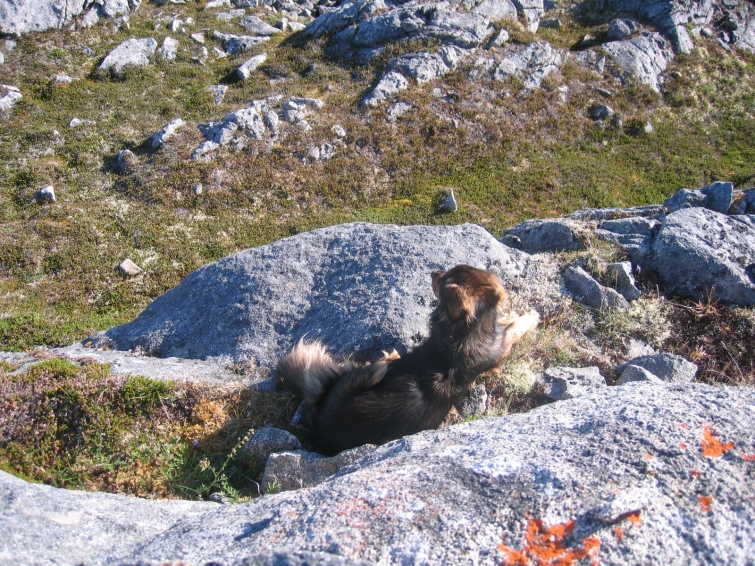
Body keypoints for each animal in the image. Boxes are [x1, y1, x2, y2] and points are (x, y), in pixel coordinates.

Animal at [274, 266, 540, 458]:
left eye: (443, 278)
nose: (433, 271)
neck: (465, 330)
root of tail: (321, 423)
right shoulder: (498, 353)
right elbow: (515, 328)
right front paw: (528, 316)